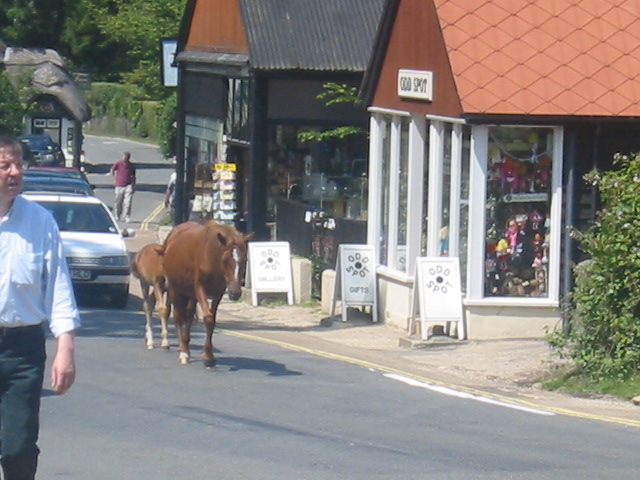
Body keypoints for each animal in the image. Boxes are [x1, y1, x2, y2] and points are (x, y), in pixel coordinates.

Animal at [162, 220, 253, 367]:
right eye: (225, 260)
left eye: (244, 259)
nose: (235, 292)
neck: (212, 258)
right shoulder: (200, 289)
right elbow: (208, 318)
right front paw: (205, 356)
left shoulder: (218, 293)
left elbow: (212, 320)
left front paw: (209, 356)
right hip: (175, 289)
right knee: (178, 316)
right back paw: (183, 350)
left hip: (190, 294)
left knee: (188, 315)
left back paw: (186, 346)